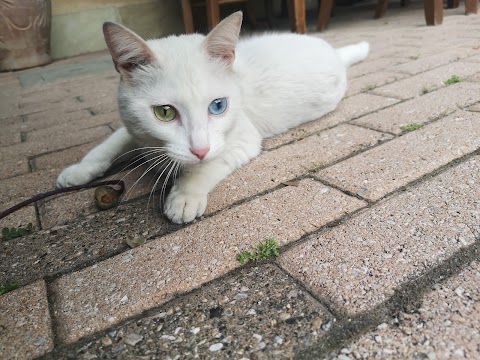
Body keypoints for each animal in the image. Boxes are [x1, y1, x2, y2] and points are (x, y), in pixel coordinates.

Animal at [58, 11, 370, 222]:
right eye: (164, 112)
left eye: (218, 106)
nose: (199, 149)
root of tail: (333, 51)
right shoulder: (133, 127)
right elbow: (110, 143)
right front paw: (79, 170)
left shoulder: (242, 139)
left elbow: (206, 166)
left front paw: (185, 196)